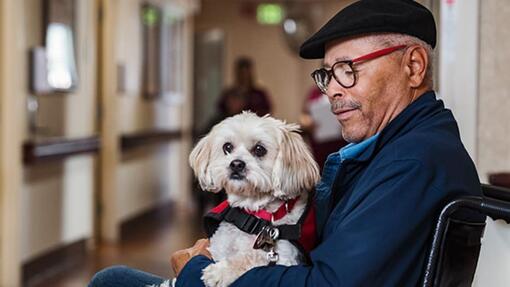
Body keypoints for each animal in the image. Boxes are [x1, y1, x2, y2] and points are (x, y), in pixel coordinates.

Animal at [180, 112, 318, 287]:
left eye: (259, 149)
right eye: (227, 147)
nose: (236, 164)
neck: (253, 216)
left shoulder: (284, 256)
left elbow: (252, 256)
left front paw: (220, 272)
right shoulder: (219, 247)